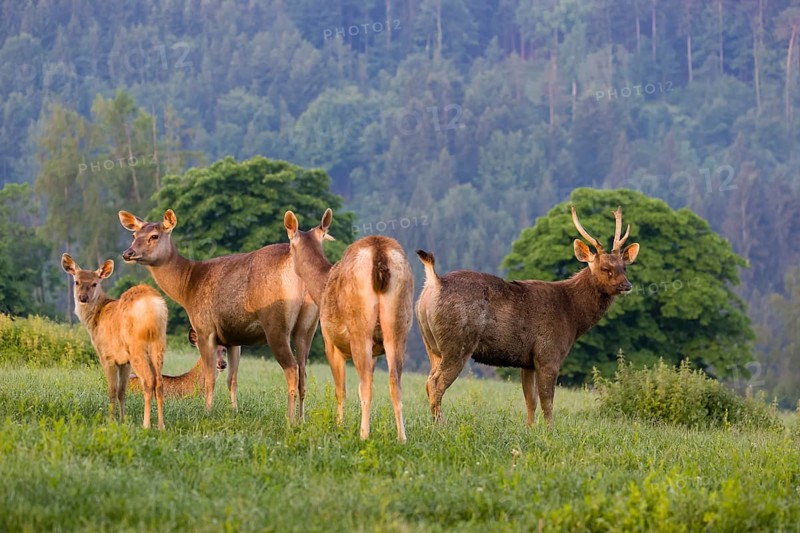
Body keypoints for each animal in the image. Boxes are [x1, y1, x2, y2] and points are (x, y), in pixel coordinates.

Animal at [61, 253, 168, 429]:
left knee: (148, 381)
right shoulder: (124, 361)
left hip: (136, 346)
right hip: (159, 343)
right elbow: (121, 391)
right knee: (159, 382)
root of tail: (153, 306)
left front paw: (111, 421)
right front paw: (123, 420)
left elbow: (111, 390)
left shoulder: (107, 356)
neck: (95, 318)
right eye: (76, 281)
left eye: (94, 283)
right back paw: (161, 426)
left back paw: (146, 425)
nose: (83, 298)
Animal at [118, 209, 319, 421]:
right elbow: (232, 380)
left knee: (292, 369)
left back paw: (290, 420)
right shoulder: (234, 338)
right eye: (134, 235)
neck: (187, 288)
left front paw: (207, 412)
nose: (128, 253)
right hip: (307, 328)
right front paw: (234, 412)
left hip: (276, 325)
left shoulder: (205, 329)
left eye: (154, 236)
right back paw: (302, 419)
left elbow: (210, 377)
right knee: (303, 372)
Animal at [284, 209, 414, 442]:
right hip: (398, 326)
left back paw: (363, 435)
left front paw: (339, 426)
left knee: (365, 384)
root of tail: (379, 253)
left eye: (290, 245)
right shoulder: (375, 352)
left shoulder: (330, 341)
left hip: (359, 327)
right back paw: (402, 438)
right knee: (395, 381)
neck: (322, 287)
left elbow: (340, 390)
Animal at [415, 206, 639, 428]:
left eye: (624, 267)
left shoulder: (527, 362)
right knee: (435, 383)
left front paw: (530, 429)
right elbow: (547, 402)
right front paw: (550, 430)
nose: (627, 285)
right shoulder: (548, 353)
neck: (572, 317)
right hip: (457, 343)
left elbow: (530, 400)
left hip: (432, 346)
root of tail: (435, 283)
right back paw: (441, 425)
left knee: (428, 380)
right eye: (605, 268)